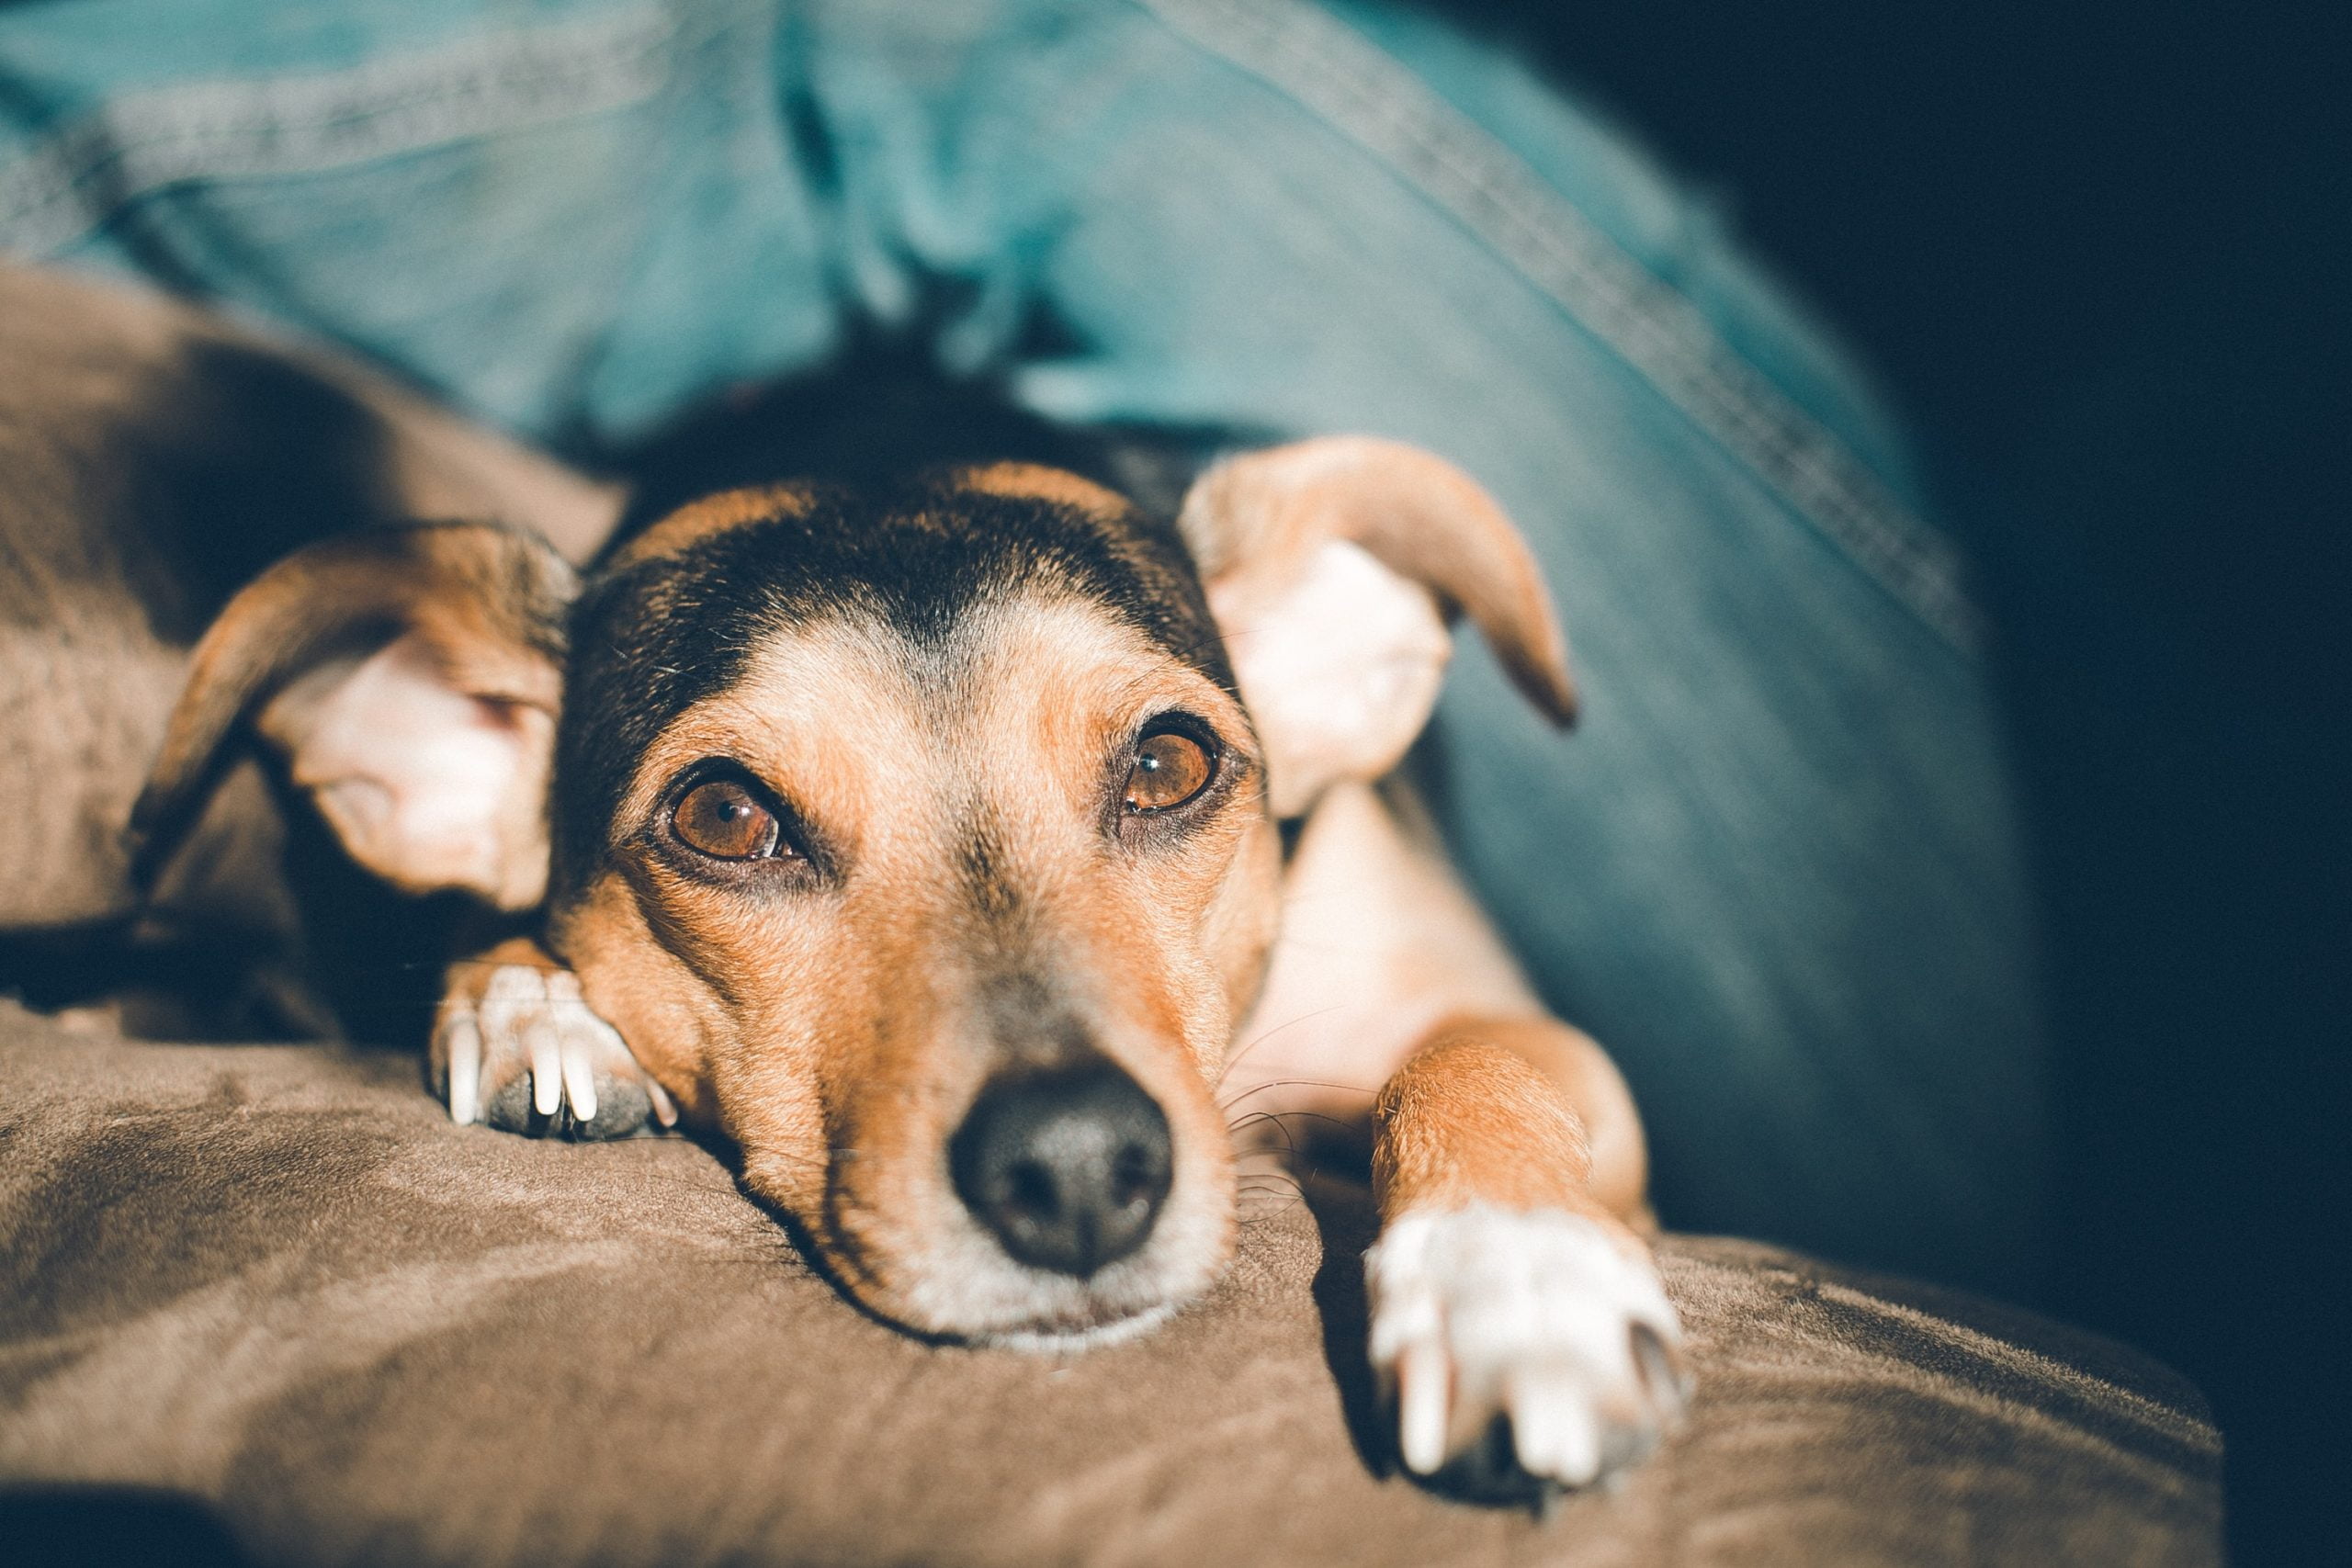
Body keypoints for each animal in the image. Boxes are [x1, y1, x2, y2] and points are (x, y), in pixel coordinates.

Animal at [9, 263, 1693, 1504]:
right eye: (724, 816)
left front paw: (1513, 1276)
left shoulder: (1509, 1031)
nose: (1076, 1169)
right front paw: (536, 1002)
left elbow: (1475, 1061)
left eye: (1169, 765)